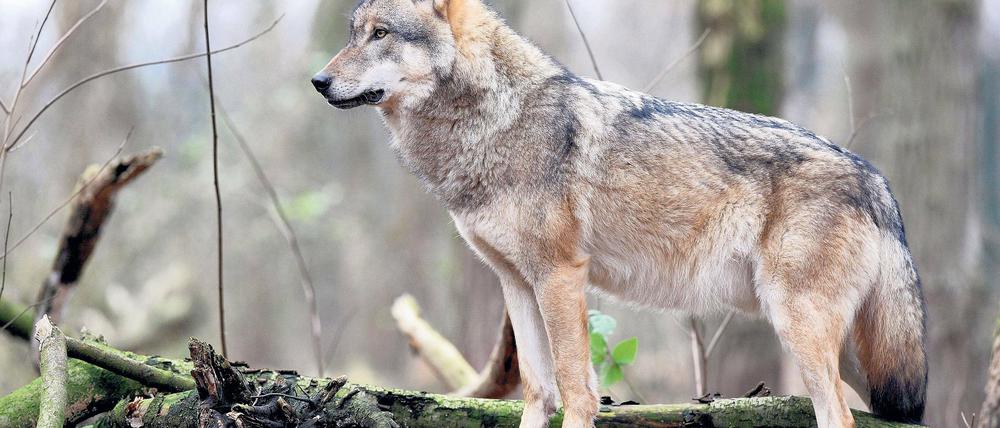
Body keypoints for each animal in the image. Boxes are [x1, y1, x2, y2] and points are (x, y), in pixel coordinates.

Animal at [311, 0, 927, 426]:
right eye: (352, 33)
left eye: (381, 33)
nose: (318, 81)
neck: (496, 120)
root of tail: (877, 179)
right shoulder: (517, 283)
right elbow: (538, 390)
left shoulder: (560, 276)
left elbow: (577, 390)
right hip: (841, 349)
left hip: (799, 326)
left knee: (839, 415)